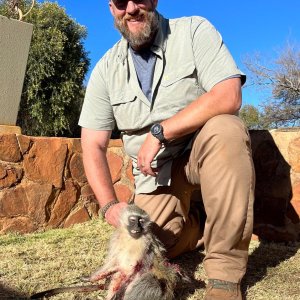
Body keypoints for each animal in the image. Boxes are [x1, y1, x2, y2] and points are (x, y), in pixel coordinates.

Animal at [29, 203, 185, 298]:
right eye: (133, 220)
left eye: (141, 221)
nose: (137, 228)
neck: (129, 237)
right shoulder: (116, 238)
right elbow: (114, 263)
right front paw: (90, 278)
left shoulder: (143, 242)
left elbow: (128, 267)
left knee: (150, 281)